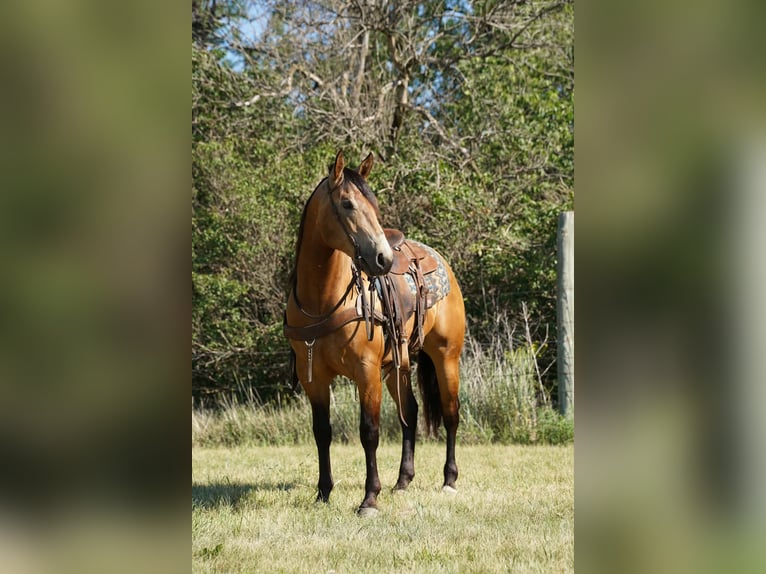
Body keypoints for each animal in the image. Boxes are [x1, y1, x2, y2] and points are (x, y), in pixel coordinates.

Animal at [284, 151, 465, 516]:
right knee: (411, 412)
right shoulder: (314, 377)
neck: (323, 301)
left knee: (451, 413)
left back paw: (449, 480)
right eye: (347, 204)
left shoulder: (365, 373)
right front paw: (323, 492)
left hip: (446, 357)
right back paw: (403, 481)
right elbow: (321, 432)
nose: (382, 259)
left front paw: (369, 498)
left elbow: (369, 431)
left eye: (374, 204)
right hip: (399, 366)